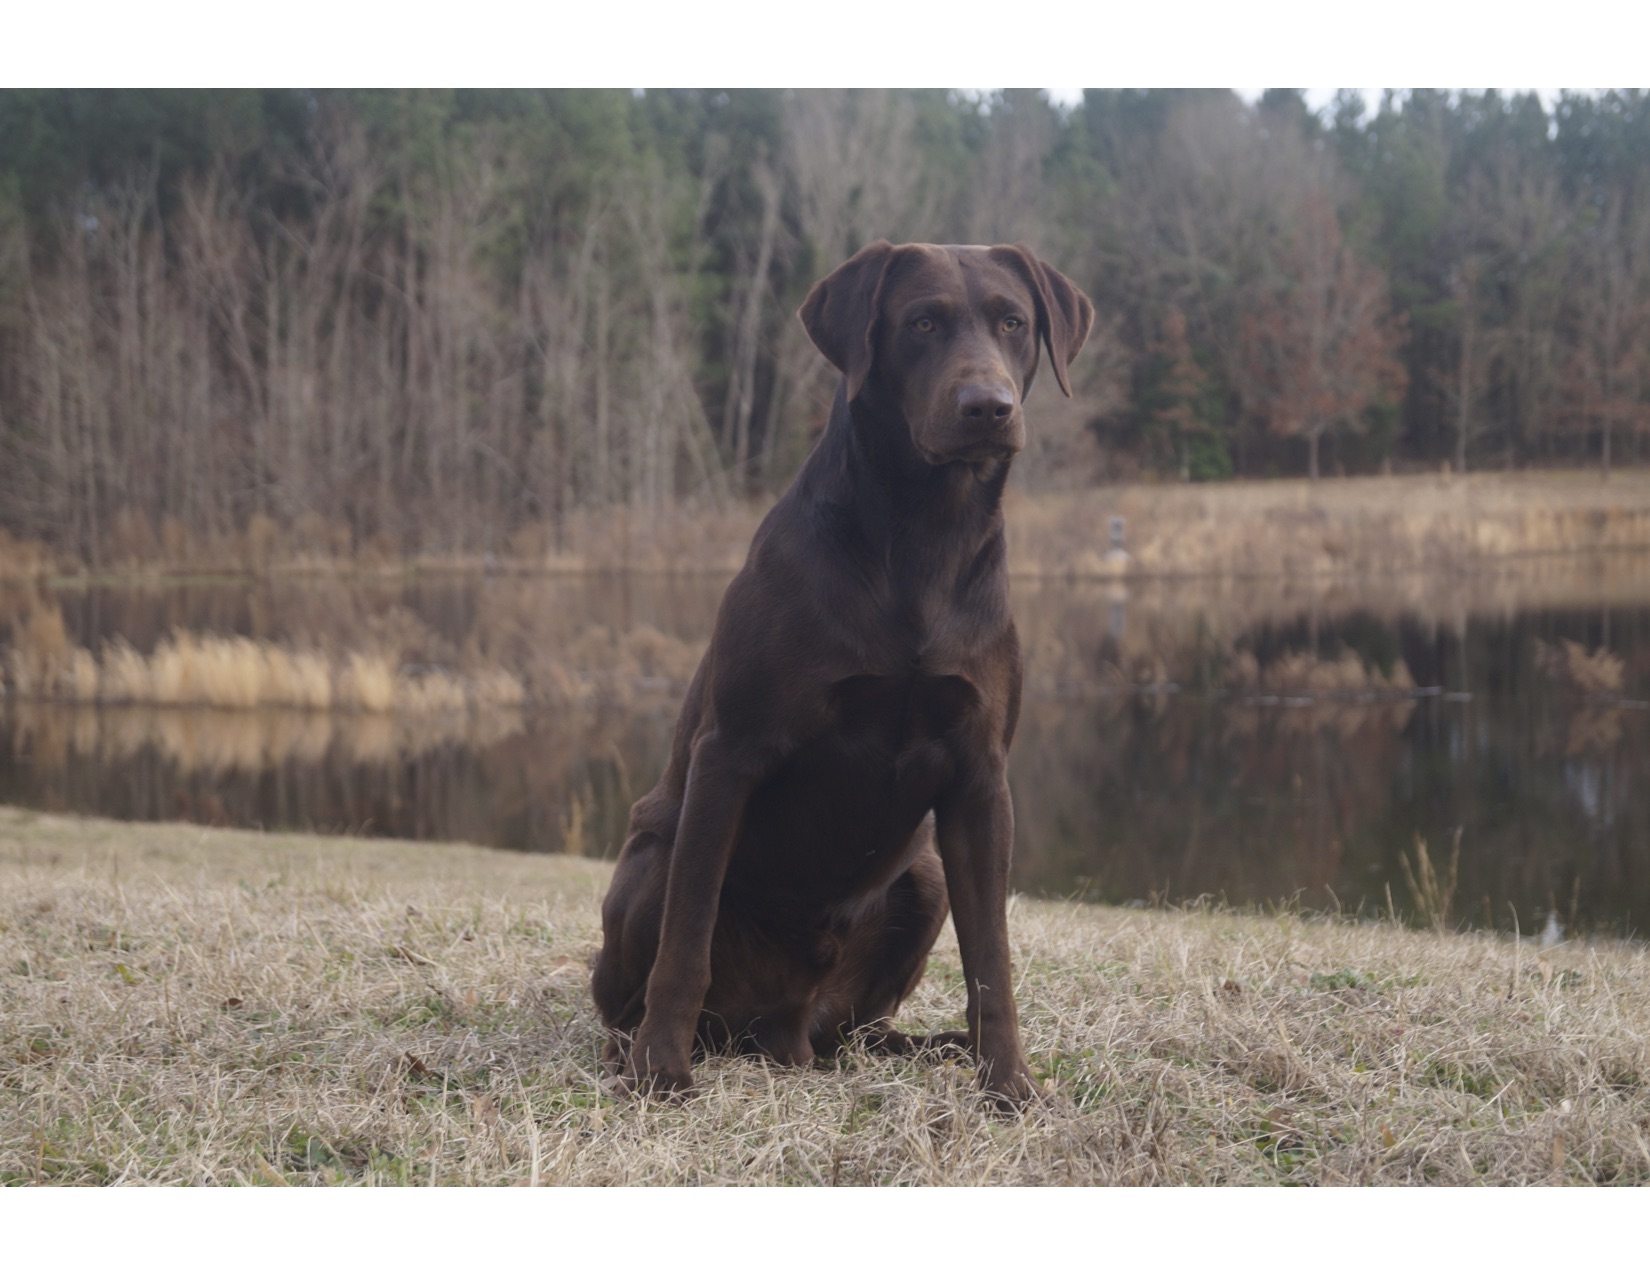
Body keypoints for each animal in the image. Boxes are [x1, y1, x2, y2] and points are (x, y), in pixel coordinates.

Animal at [594, 239, 1095, 1101]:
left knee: (865, 1024)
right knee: (650, 964)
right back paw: (642, 1046)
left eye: (1015, 323)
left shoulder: (980, 775)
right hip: (654, 857)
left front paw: (1009, 1083)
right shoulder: (729, 751)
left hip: (922, 877)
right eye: (922, 322)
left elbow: (991, 959)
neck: (923, 534)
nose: (988, 406)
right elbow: (685, 941)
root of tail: (783, 1029)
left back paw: (924, 1047)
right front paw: (661, 1070)